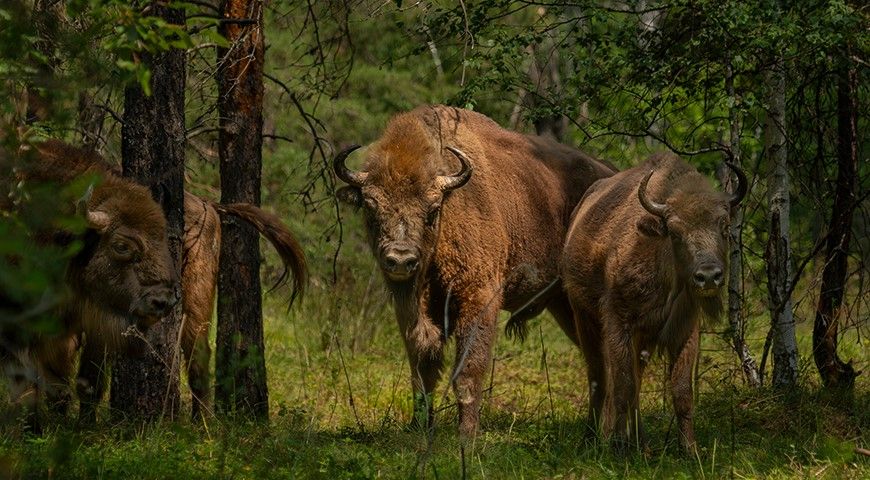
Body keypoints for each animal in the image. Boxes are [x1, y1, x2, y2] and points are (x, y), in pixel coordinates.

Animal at [334, 106, 612, 438]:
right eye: (371, 208)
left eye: (432, 210)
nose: (401, 259)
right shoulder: (413, 311)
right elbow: (422, 367)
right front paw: (419, 427)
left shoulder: (479, 298)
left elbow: (468, 369)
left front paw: (467, 434)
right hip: (563, 305)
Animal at [564, 152, 744, 452]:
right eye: (674, 232)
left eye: (724, 226)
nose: (709, 276)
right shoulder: (619, 323)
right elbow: (623, 387)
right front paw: (618, 447)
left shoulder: (684, 330)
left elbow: (681, 391)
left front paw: (690, 450)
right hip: (583, 318)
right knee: (599, 377)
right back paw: (592, 438)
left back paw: (642, 444)